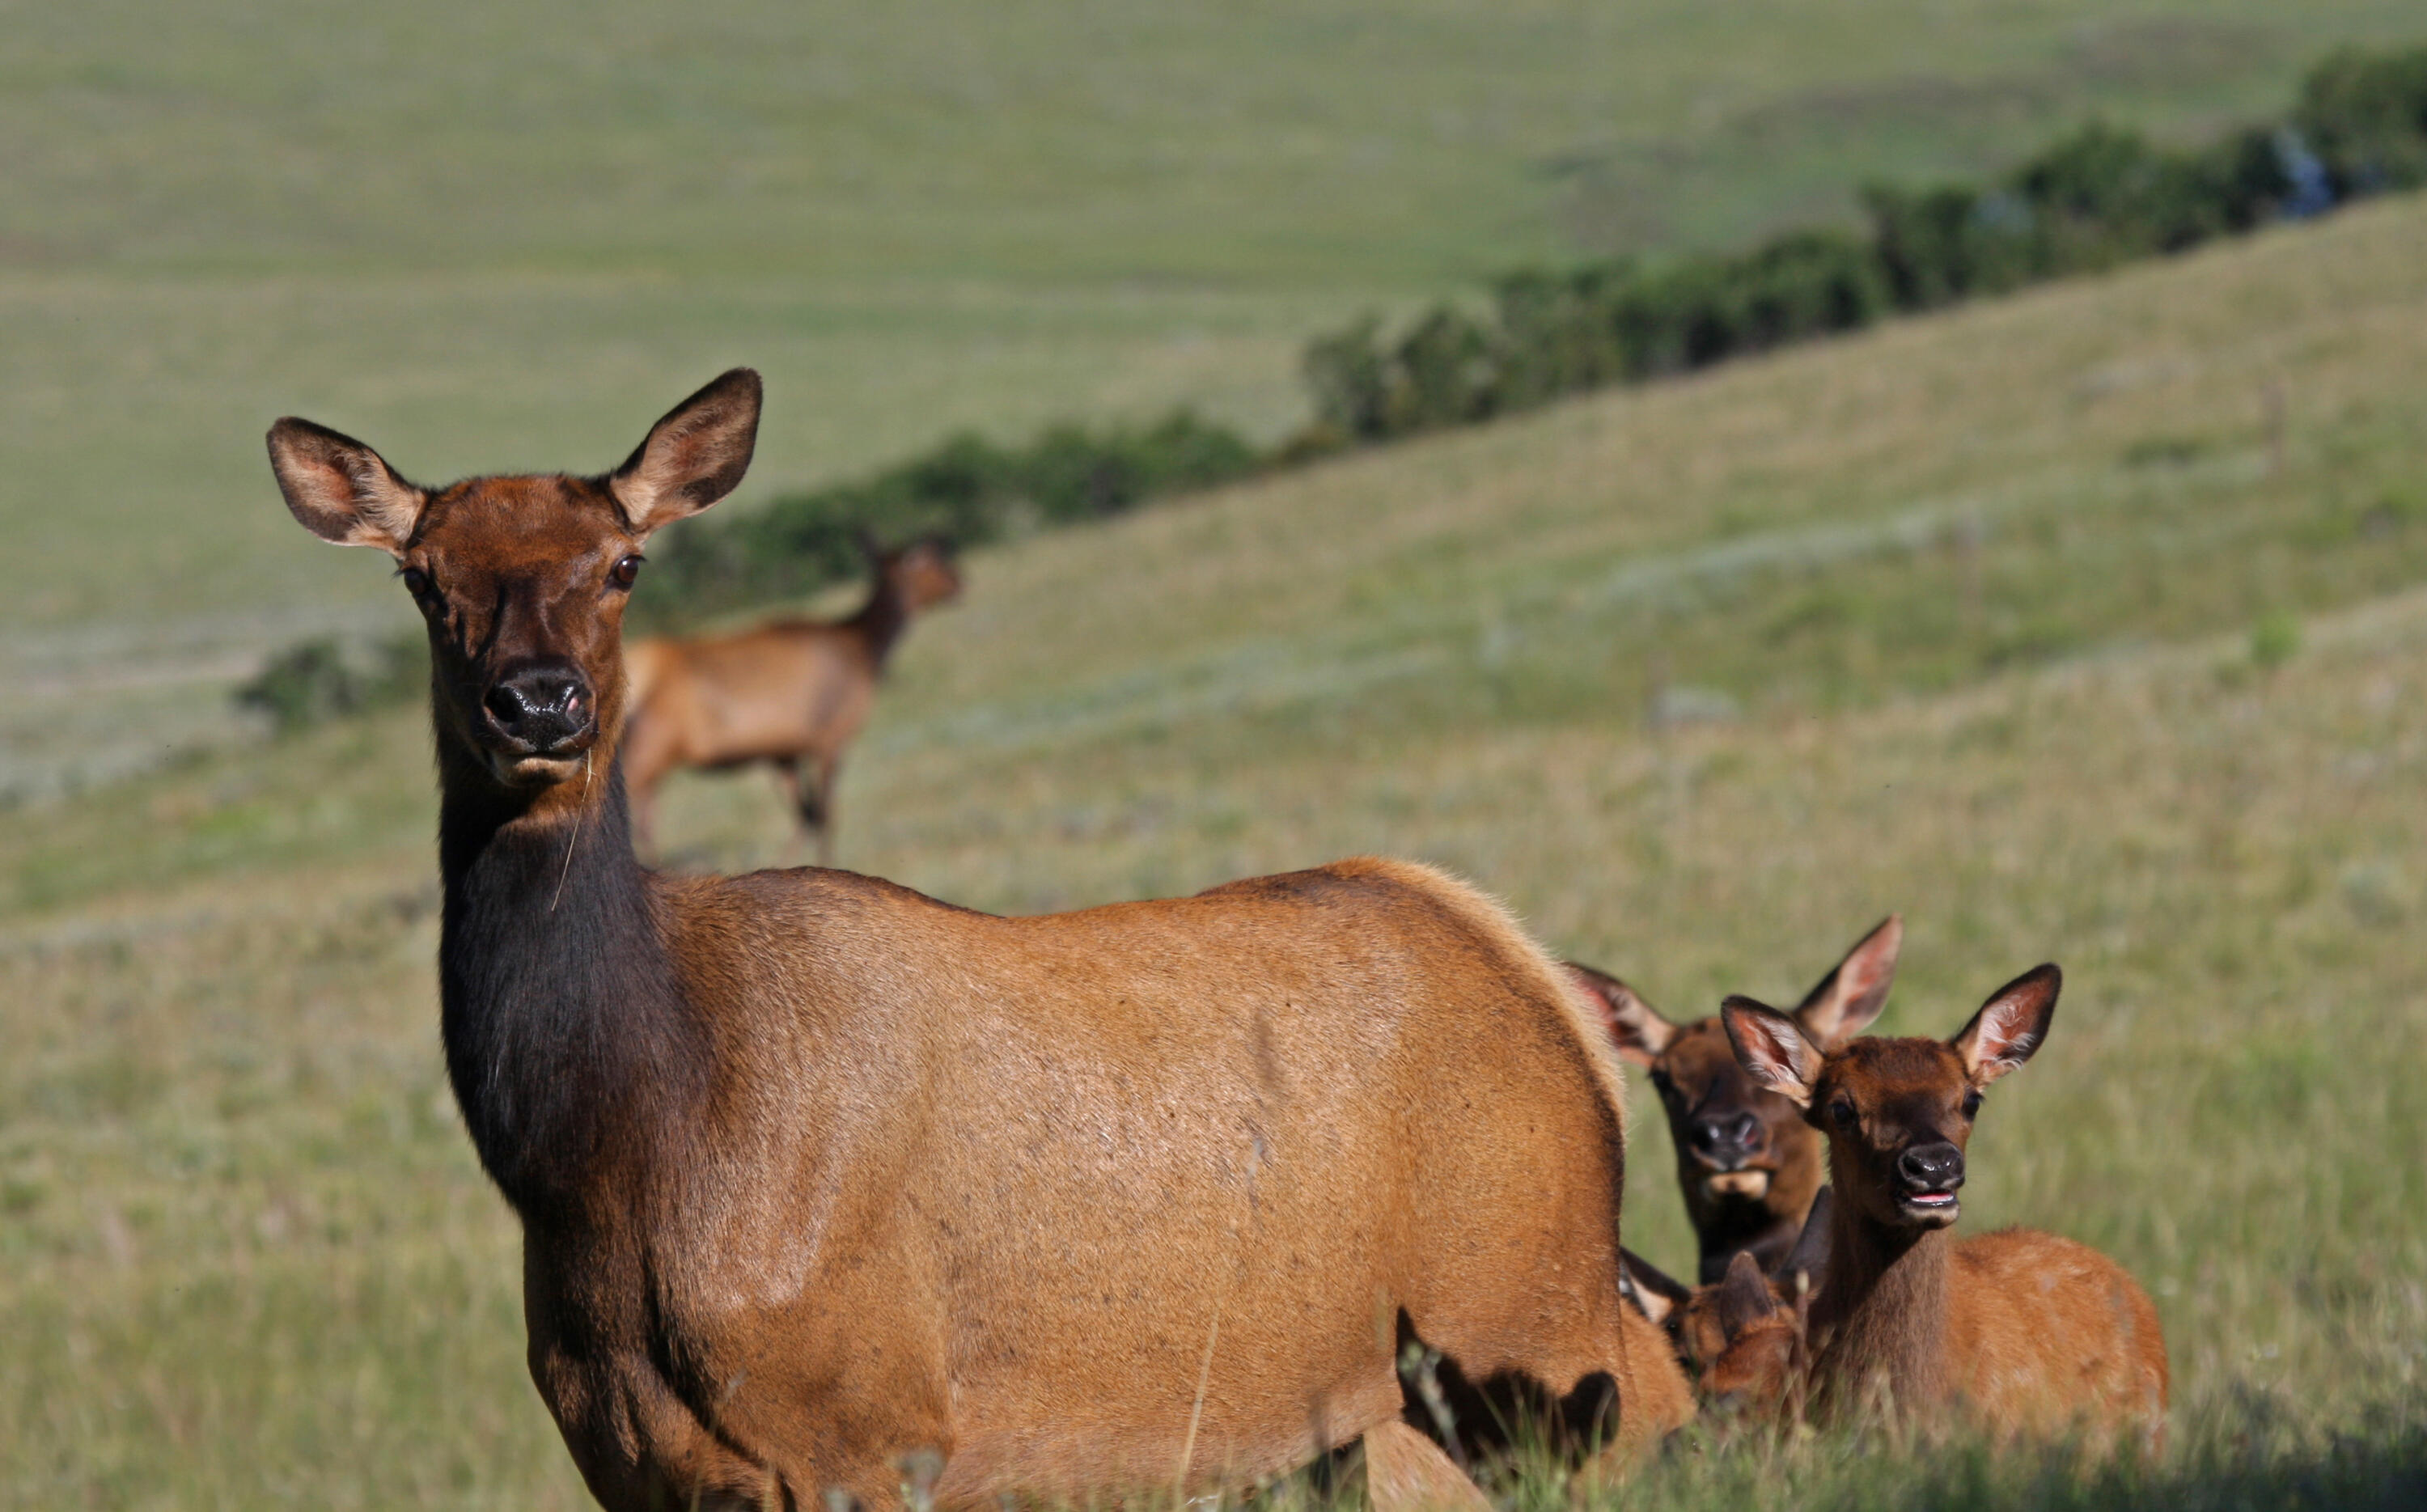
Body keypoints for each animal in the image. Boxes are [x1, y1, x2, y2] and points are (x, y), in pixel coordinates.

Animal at [620, 533, 962, 863]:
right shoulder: (831, 737)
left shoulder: (784, 752)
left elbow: (805, 814)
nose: (960, 582)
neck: (866, 649)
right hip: (652, 748)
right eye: (933, 562)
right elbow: (824, 814)